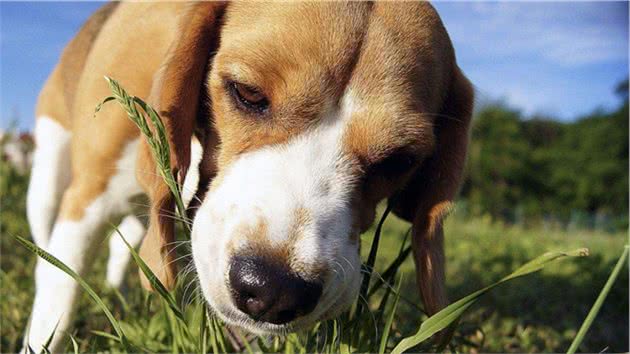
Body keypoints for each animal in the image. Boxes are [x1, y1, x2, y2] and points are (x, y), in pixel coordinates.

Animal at [24, 2, 474, 352]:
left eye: (399, 160)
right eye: (248, 93)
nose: (274, 290)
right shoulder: (89, 198)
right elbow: (58, 293)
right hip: (48, 175)